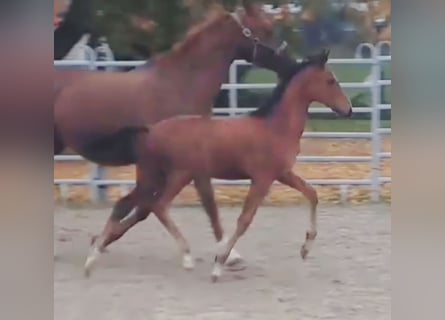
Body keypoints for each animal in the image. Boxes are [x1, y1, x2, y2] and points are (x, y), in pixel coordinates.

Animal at [57, 1, 296, 268]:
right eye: (266, 29)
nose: (292, 65)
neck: (180, 86)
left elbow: (145, 207)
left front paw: (101, 240)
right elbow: (198, 202)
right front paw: (230, 254)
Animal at [84, 49, 350, 280]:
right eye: (330, 81)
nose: (347, 109)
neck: (275, 127)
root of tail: (150, 129)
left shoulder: (282, 173)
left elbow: (312, 193)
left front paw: (305, 248)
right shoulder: (262, 178)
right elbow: (244, 220)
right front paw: (218, 265)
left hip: (157, 176)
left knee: (134, 205)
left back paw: (93, 258)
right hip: (174, 175)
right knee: (157, 206)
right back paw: (185, 256)